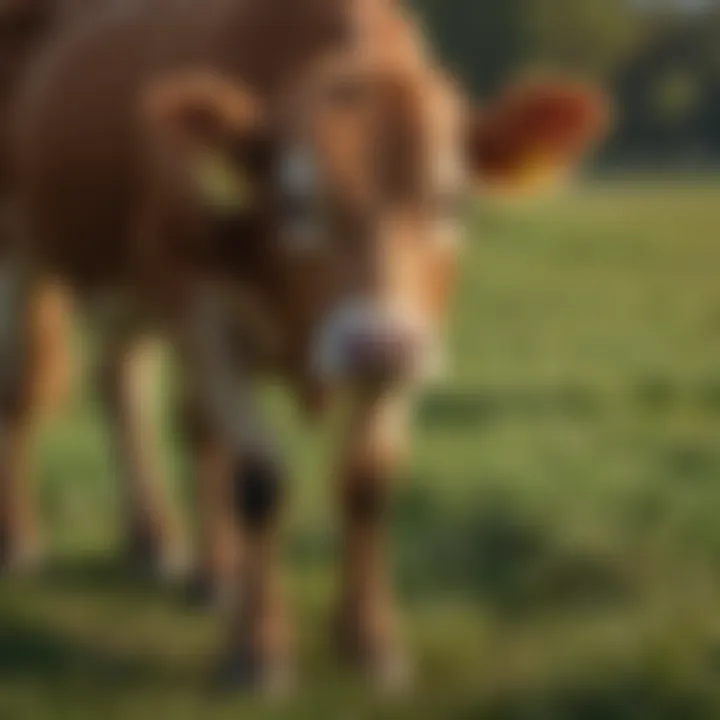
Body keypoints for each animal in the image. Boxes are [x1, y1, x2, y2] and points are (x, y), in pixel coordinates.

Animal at [0, 0, 608, 692]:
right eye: (294, 201)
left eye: (451, 200)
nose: (377, 344)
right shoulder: (206, 316)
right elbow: (258, 478)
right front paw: (258, 650)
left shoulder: (403, 341)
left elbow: (367, 480)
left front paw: (370, 641)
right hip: (23, 250)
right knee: (24, 389)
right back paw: (22, 540)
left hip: (131, 285)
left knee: (124, 382)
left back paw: (165, 546)